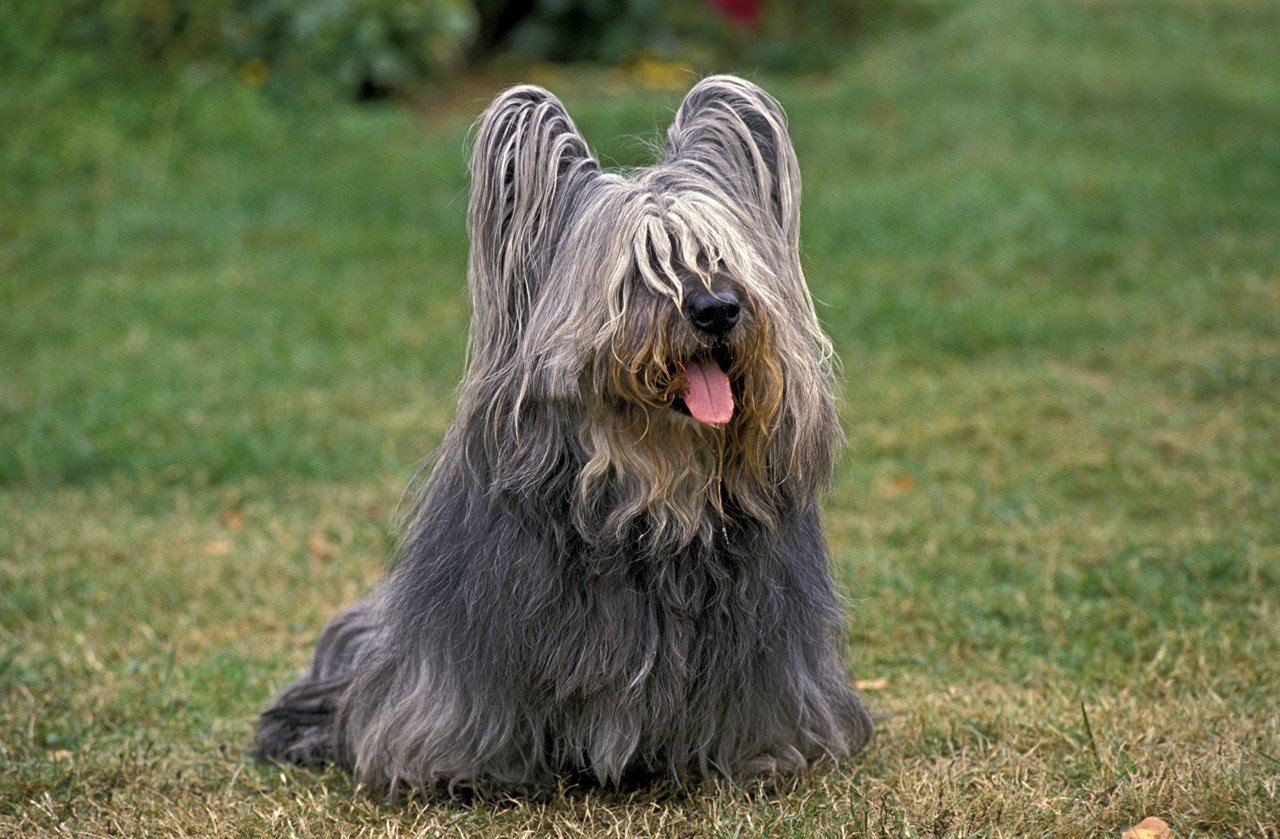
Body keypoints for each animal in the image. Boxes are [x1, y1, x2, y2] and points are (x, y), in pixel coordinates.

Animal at [259, 75, 880, 799]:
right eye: (640, 272)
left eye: (720, 257)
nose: (718, 309)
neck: (652, 490)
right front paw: (464, 771)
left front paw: (759, 758)